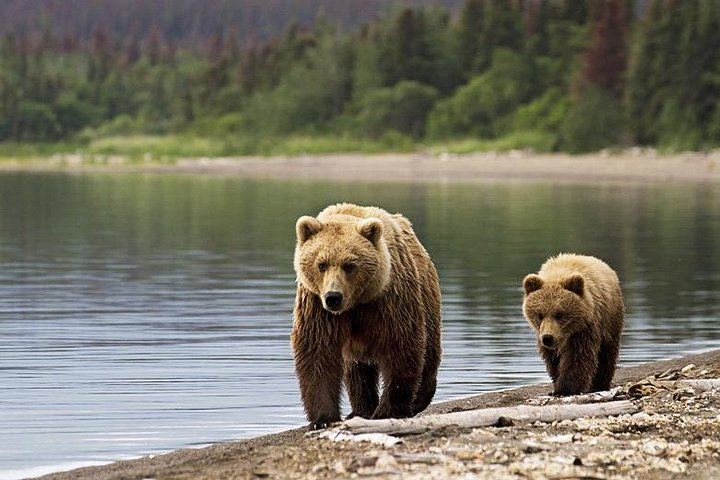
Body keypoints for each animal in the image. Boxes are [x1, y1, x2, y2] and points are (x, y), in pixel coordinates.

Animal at [291, 203, 442, 430]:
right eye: (322, 264)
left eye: (349, 265)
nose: (333, 297)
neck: (355, 304)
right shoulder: (317, 307)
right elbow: (317, 353)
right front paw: (323, 419)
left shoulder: (388, 300)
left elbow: (401, 346)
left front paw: (389, 410)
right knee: (356, 371)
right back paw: (360, 409)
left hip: (427, 299)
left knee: (428, 351)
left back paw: (419, 399)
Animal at [522, 253, 625, 396]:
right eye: (540, 314)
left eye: (559, 314)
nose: (548, 338)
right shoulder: (542, 334)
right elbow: (553, 359)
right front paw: (557, 383)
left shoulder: (585, 328)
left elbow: (578, 356)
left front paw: (566, 388)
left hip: (610, 320)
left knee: (607, 352)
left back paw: (600, 384)